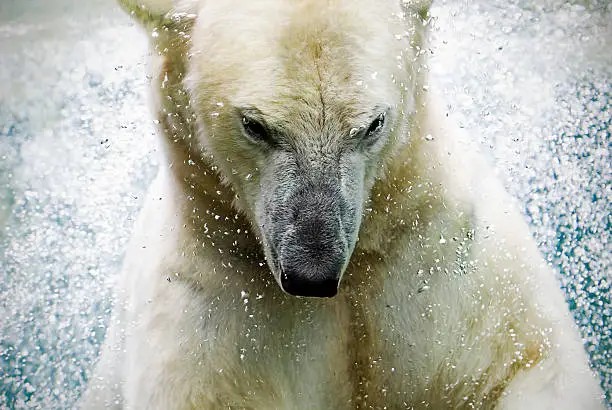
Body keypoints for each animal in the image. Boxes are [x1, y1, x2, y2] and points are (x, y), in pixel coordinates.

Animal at [79, 0, 604, 408]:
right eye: (255, 125)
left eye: (372, 124)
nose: (313, 272)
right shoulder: (216, 307)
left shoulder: (441, 257)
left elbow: (519, 361)